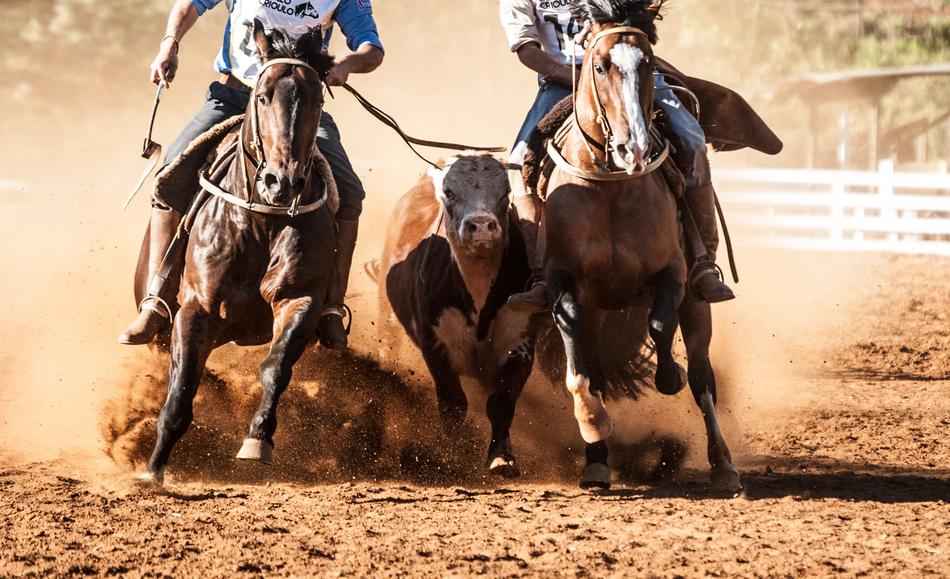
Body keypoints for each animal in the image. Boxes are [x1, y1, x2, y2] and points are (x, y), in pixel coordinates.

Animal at [379, 154, 534, 478]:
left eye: (505, 193)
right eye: (450, 193)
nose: (482, 226)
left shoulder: (520, 345)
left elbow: (501, 402)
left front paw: (502, 457)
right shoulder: (436, 346)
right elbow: (453, 404)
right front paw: (453, 457)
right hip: (387, 323)